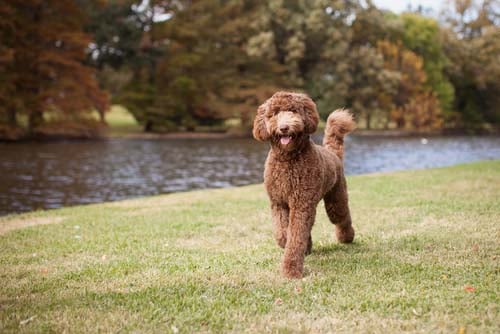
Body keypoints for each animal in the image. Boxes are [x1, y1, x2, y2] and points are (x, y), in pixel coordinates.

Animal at [254, 90, 356, 278]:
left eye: (293, 111)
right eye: (274, 114)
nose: (284, 128)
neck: (288, 159)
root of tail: (332, 153)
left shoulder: (301, 204)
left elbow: (295, 237)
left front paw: (291, 270)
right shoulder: (278, 202)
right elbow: (282, 232)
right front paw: (286, 242)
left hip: (335, 199)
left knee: (341, 217)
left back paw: (347, 237)